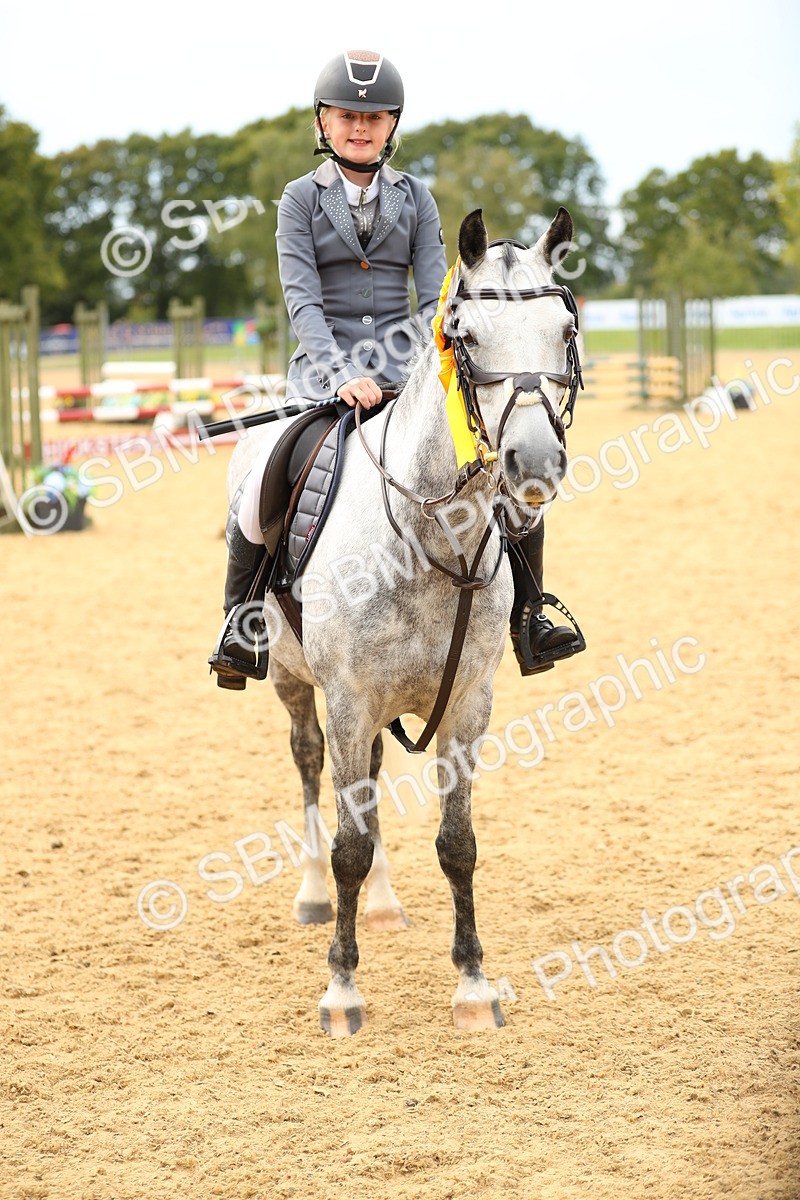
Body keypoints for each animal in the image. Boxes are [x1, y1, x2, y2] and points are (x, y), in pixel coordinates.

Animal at [225, 207, 580, 1036]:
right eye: (466, 335)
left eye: (563, 328)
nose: (534, 463)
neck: (428, 540)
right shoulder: (350, 700)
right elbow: (349, 844)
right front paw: (341, 991)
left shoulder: (469, 703)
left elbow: (457, 843)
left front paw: (474, 987)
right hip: (294, 681)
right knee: (310, 768)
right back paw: (314, 895)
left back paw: (383, 906)